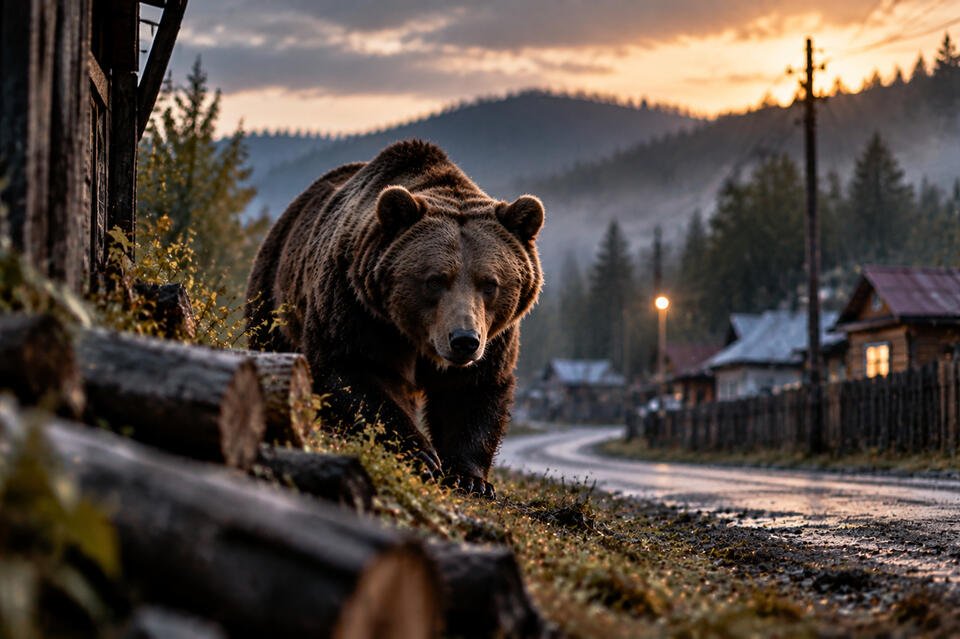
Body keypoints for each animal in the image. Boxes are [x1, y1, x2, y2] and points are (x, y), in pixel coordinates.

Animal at [246, 140, 544, 496]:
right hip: (274, 291)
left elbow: (474, 390)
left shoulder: (496, 335)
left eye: (489, 283)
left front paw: (469, 478)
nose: (464, 341)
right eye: (435, 280)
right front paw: (421, 454)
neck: (417, 338)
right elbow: (354, 371)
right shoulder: (358, 307)